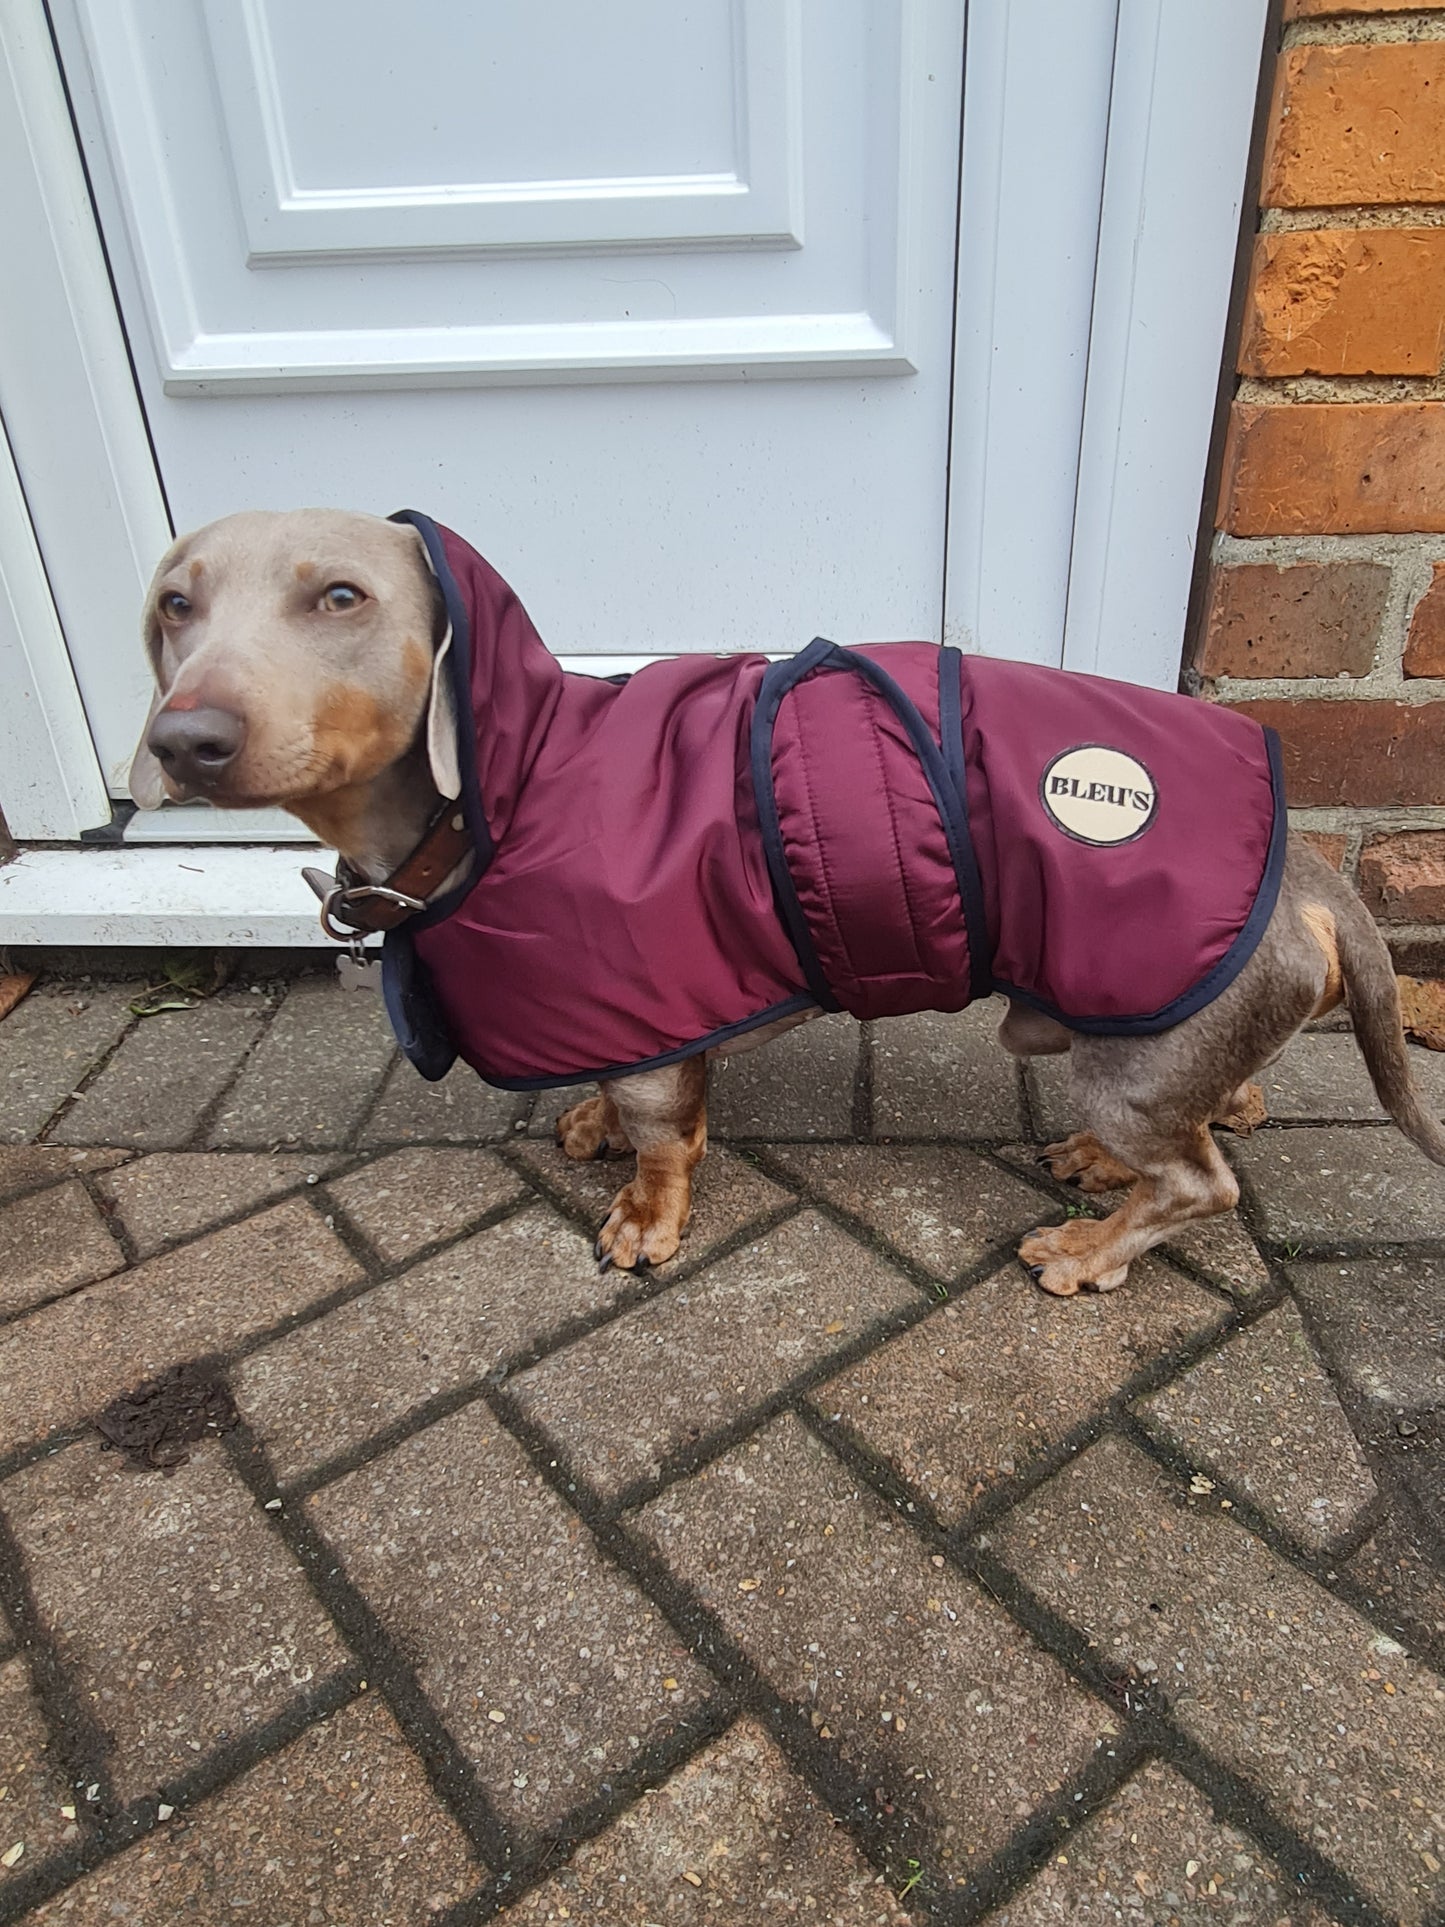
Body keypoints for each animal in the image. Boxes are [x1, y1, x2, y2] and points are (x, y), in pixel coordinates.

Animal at [130, 512, 1441, 1294]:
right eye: (173, 605)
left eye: (342, 597)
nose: (183, 741)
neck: (513, 783)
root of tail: (1313, 874)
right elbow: (634, 1093)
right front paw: (592, 1124)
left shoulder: (651, 1015)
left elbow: (663, 1137)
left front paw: (643, 1216)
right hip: (1157, 1045)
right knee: (1224, 1113)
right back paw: (1097, 1169)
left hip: (1129, 1057)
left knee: (1200, 1184)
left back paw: (1087, 1249)